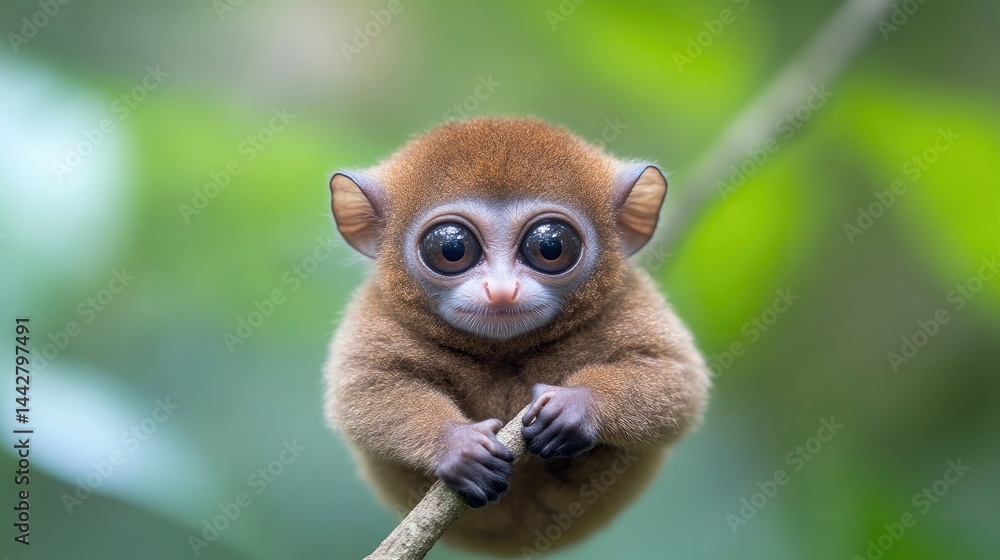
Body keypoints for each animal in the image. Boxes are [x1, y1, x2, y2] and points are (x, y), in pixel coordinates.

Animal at [323, 117, 710, 555]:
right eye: (451, 249)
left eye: (551, 246)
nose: (502, 290)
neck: (504, 350)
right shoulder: (377, 312)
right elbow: (363, 387)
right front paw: (458, 446)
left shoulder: (628, 299)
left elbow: (676, 375)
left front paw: (574, 409)